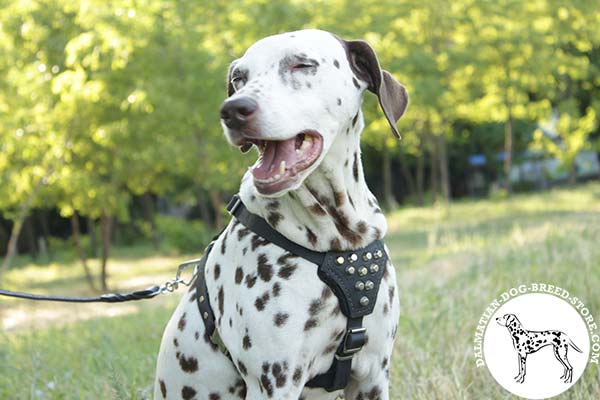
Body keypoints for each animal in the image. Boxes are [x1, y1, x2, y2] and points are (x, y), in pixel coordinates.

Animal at [155, 28, 408, 400]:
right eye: (238, 78)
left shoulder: (373, 376)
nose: (233, 110)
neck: (337, 245)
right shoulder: (274, 380)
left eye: (302, 64)